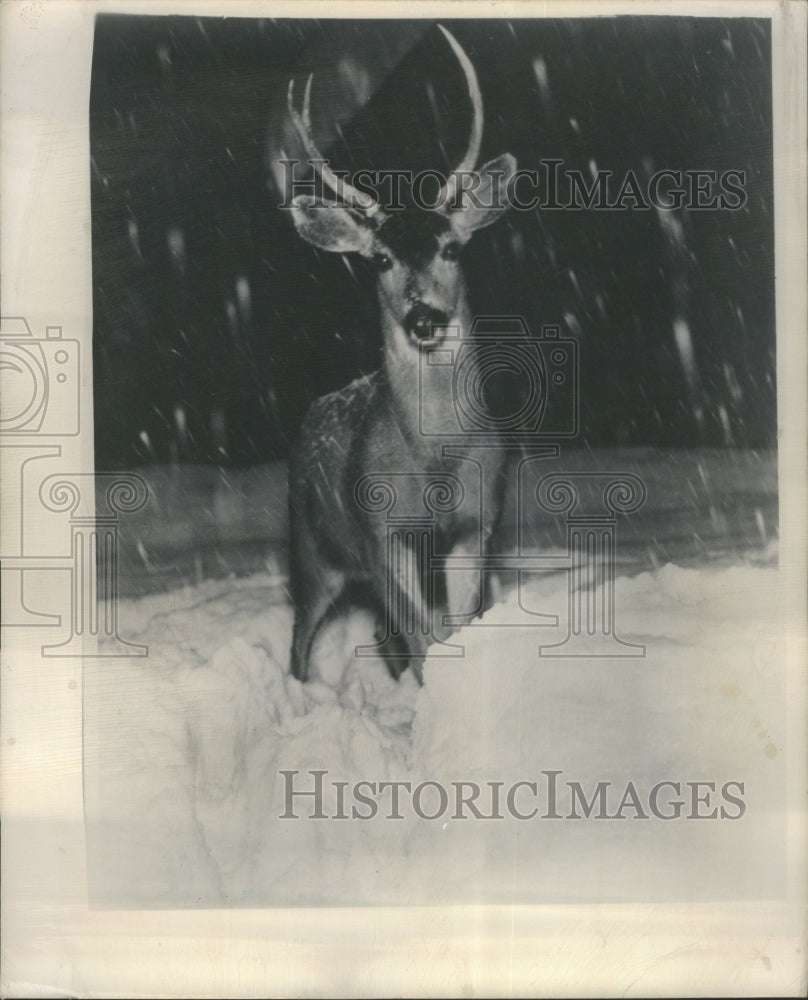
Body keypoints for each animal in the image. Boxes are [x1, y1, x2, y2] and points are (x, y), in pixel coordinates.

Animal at [284, 29, 516, 688]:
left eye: (452, 248)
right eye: (381, 259)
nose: (424, 318)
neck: (433, 459)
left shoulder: (478, 518)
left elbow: (458, 625)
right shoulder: (380, 530)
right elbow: (423, 636)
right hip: (314, 545)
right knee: (302, 629)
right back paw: (301, 694)